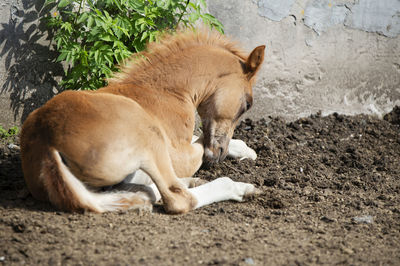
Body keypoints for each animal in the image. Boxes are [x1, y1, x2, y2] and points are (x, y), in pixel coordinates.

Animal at [19, 28, 266, 213]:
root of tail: (46, 140)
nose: (219, 154)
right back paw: (241, 188)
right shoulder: (179, 152)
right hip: (150, 137)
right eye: (247, 104)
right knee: (178, 198)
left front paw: (247, 151)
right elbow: (199, 145)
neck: (167, 91)